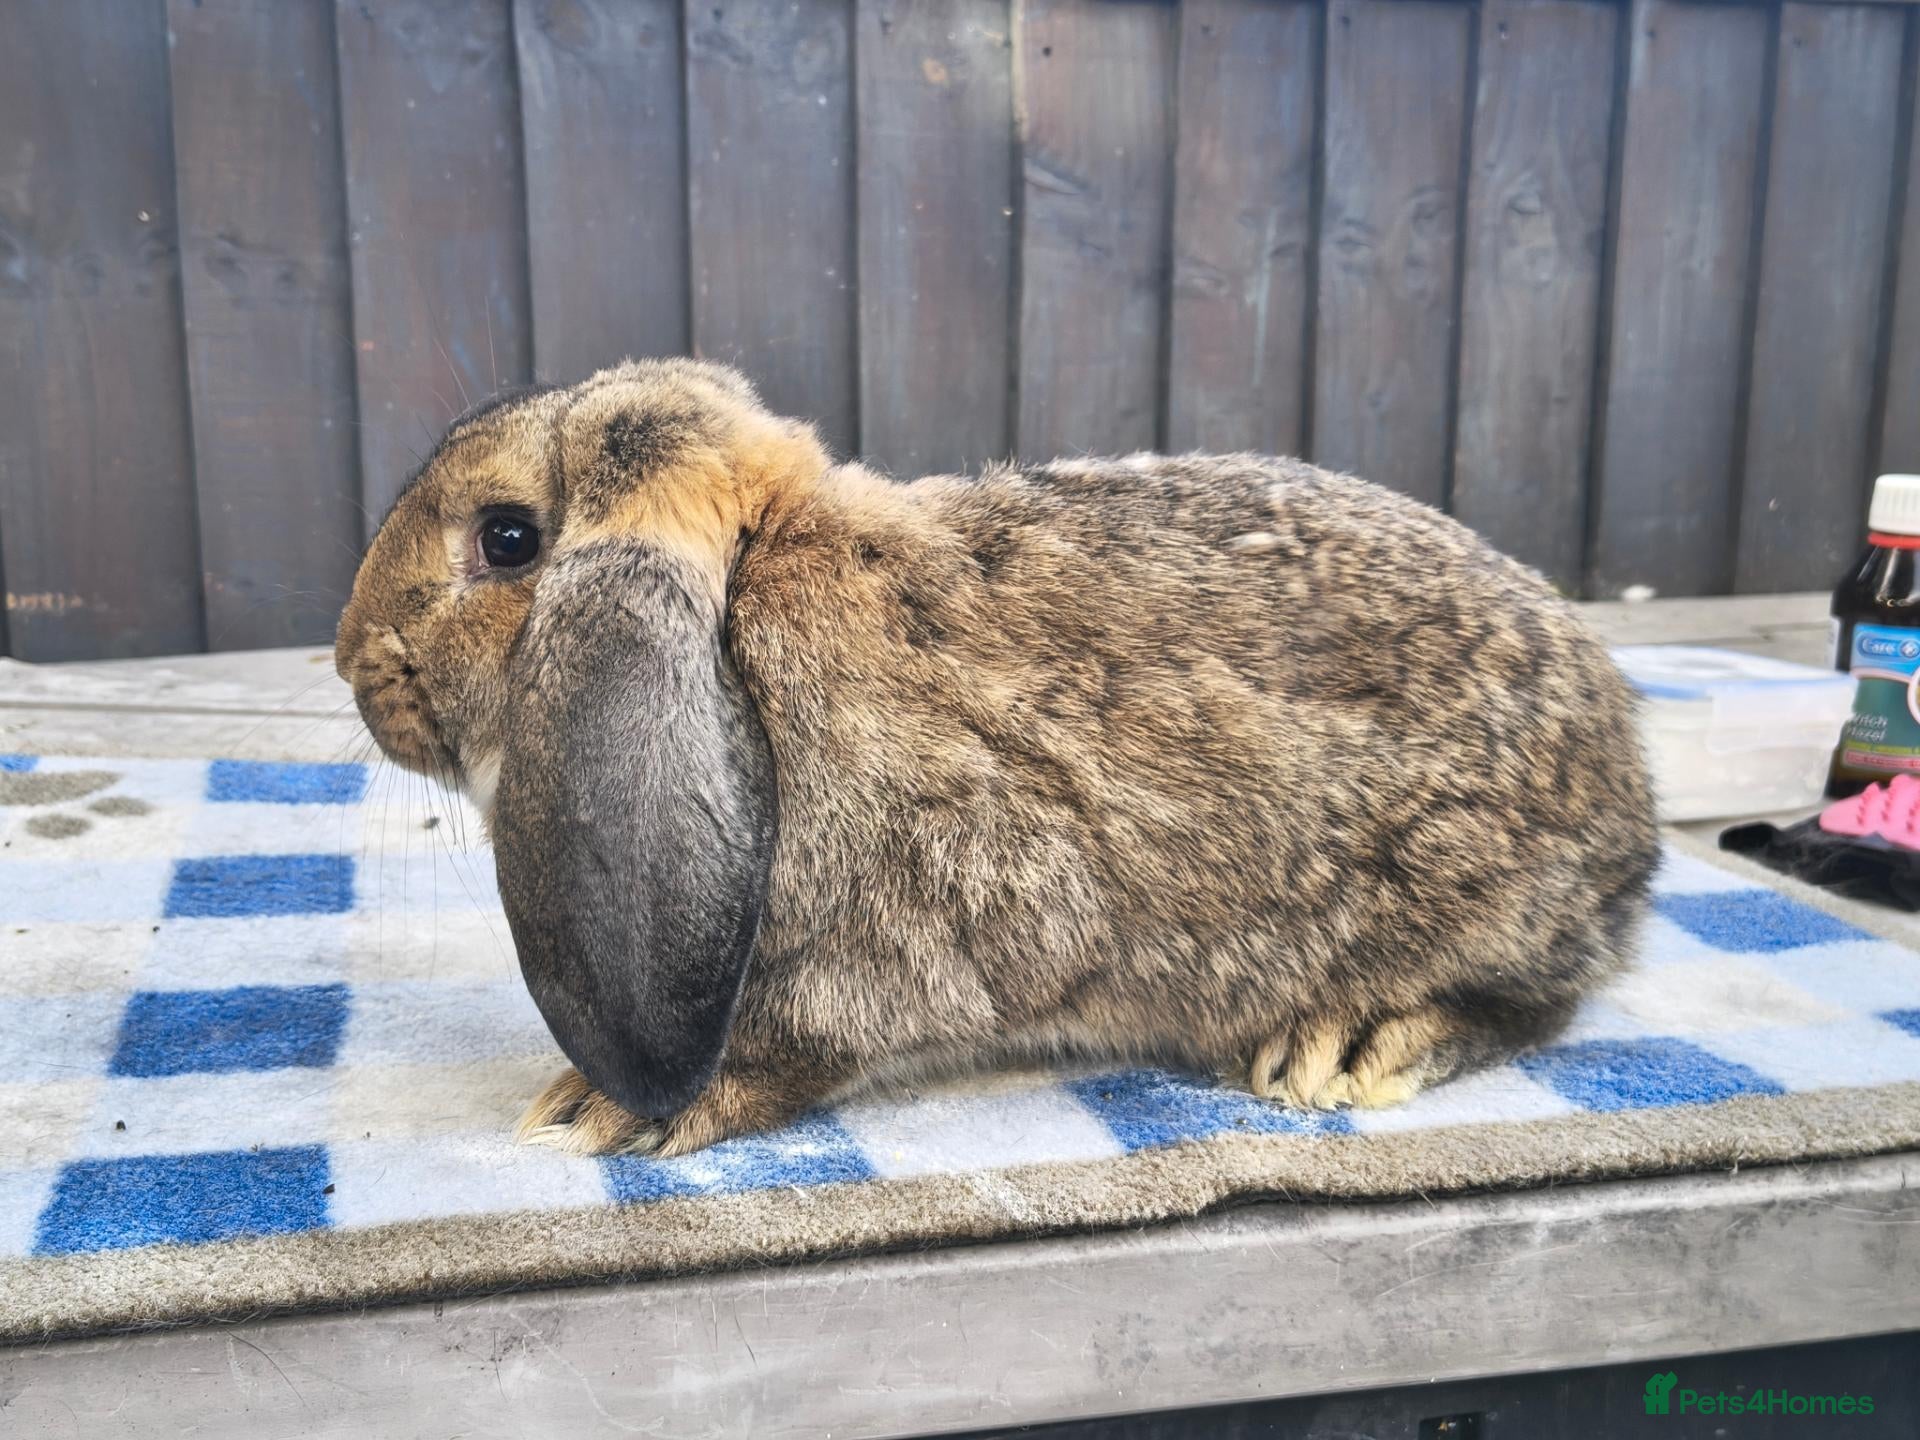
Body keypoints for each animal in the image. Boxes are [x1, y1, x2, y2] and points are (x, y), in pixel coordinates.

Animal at [335, 357, 1659, 1158]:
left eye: (509, 539)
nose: (350, 658)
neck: (749, 609)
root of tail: (1635, 828)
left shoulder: (917, 923)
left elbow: (797, 1047)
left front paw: (603, 1113)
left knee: (1540, 999)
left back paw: (1351, 1042)